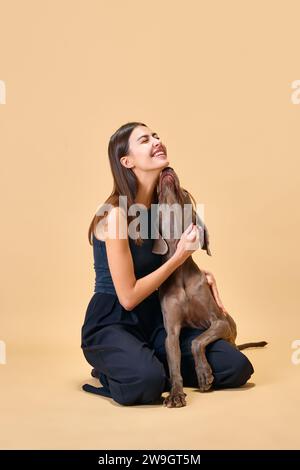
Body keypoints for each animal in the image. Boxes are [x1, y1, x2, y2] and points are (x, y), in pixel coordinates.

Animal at [152, 166, 268, 408]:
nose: (167, 169)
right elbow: (174, 364)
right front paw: (176, 393)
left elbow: (197, 341)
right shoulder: (171, 333)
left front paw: (204, 374)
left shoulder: (219, 321)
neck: (180, 271)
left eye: (185, 192)